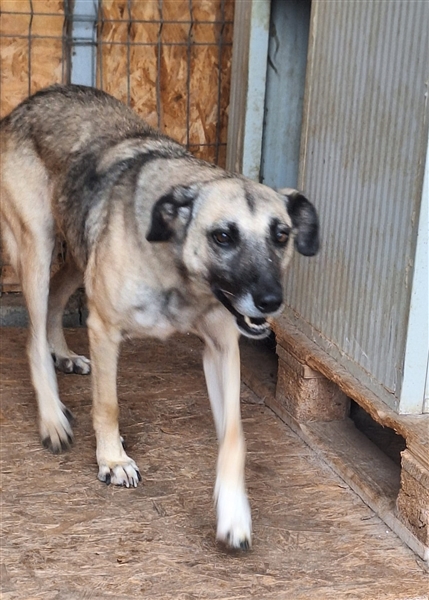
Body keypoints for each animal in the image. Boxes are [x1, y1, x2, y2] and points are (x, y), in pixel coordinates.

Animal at [0, 84, 319, 549]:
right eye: (223, 236)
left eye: (281, 235)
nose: (269, 301)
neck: (180, 274)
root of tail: (34, 97)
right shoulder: (105, 328)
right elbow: (108, 403)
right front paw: (112, 459)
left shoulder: (222, 349)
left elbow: (235, 436)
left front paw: (233, 512)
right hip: (37, 243)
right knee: (32, 336)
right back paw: (52, 417)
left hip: (79, 249)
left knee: (57, 301)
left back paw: (64, 355)